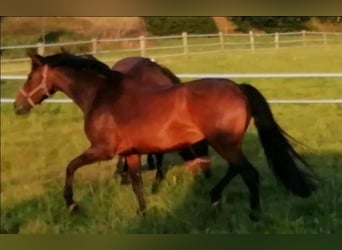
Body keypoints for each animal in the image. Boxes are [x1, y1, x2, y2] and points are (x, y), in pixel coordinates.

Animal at [13, 51, 318, 220]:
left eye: (29, 77)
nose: (17, 106)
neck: (102, 96)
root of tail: (239, 88)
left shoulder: (103, 150)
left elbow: (70, 167)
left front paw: (71, 204)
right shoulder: (130, 153)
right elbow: (137, 183)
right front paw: (143, 213)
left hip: (223, 143)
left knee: (249, 173)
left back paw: (253, 214)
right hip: (227, 143)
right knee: (236, 169)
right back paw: (214, 196)